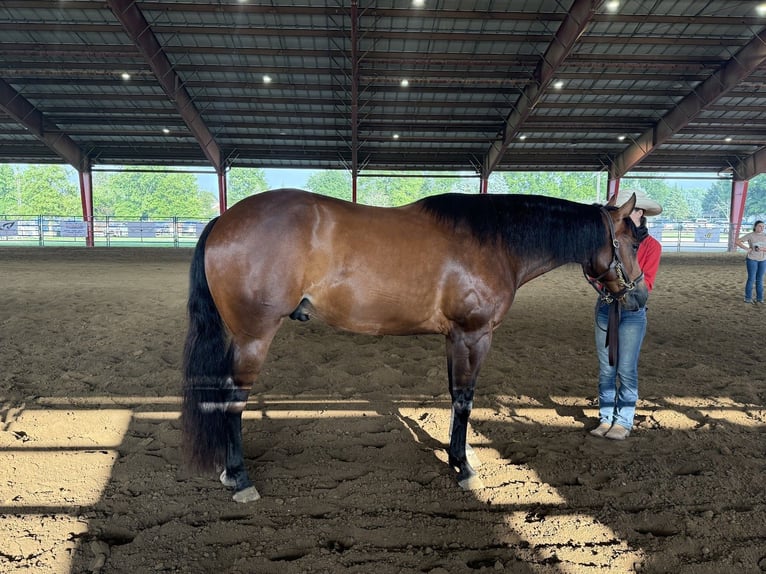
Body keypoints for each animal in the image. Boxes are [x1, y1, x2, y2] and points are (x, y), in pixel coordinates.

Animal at [181, 188, 646, 503]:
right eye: (633, 240)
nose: (639, 295)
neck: (495, 241)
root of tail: (223, 220)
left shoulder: (453, 338)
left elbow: (455, 394)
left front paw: (459, 454)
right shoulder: (474, 335)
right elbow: (465, 399)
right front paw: (463, 469)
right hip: (253, 337)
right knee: (231, 401)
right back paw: (240, 479)